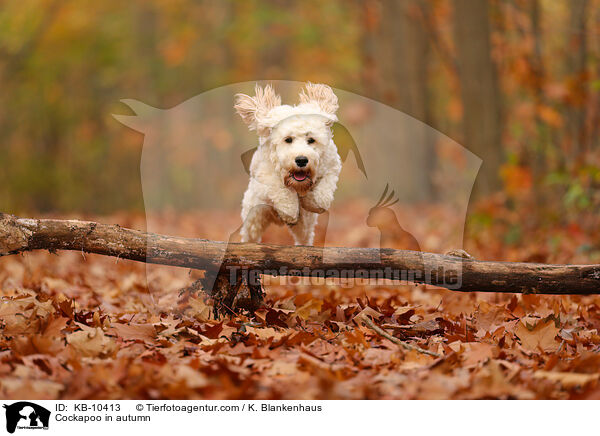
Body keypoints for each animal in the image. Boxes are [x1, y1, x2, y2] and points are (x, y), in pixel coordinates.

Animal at [236, 82, 342, 245]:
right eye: (288, 139)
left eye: (311, 139)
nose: (301, 160)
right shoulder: (265, 172)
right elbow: (280, 189)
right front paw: (290, 210)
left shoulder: (332, 165)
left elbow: (323, 195)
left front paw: (311, 201)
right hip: (254, 214)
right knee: (250, 233)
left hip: (304, 226)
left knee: (305, 237)